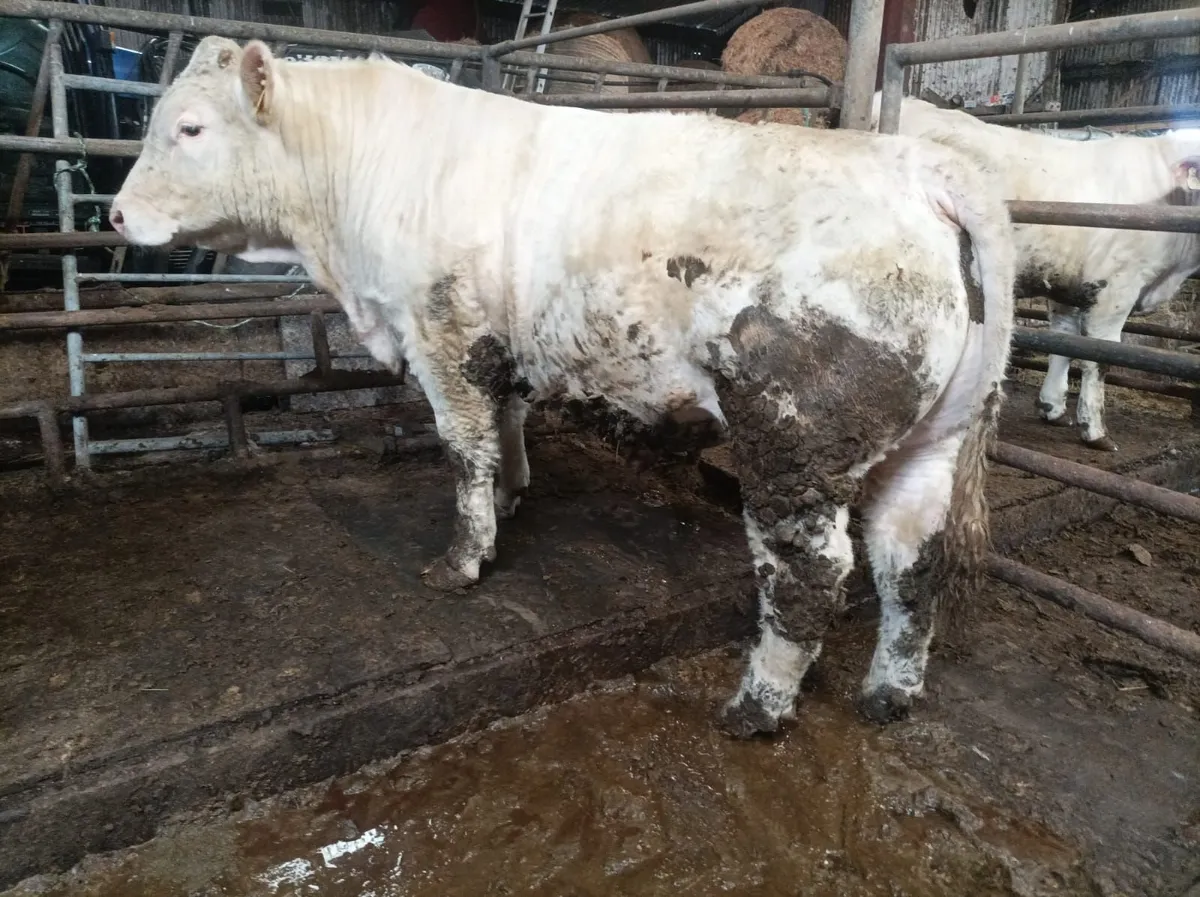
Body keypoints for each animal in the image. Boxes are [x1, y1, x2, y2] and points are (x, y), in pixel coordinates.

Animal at [109, 37, 1017, 737]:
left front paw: (463, 557)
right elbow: (506, 421)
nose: (115, 215)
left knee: (810, 570)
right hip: (932, 437)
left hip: (793, 436)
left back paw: (757, 706)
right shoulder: (495, 342)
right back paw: (888, 693)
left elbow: (464, 448)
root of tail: (916, 166)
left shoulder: (443, 338)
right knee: (912, 556)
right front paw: (514, 496)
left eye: (190, 127)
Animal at [870, 92, 1200, 452]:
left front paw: (1051, 406)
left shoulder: (1070, 283)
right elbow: (1102, 356)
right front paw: (1095, 429)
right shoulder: (1117, 287)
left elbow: (1065, 341)